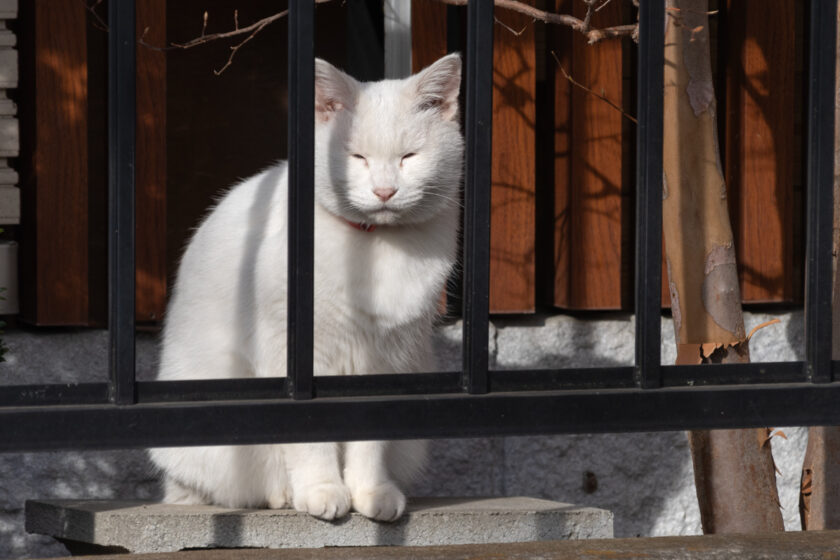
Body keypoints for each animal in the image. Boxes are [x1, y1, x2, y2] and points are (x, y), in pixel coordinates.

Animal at [151, 54, 466, 524]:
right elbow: (310, 439)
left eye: (409, 157)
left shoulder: (385, 359)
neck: (373, 245)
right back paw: (283, 494)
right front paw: (322, 491)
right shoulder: (297, 357)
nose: (384, 191)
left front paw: (371, 493)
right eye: (357, 157)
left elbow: (370, 442)